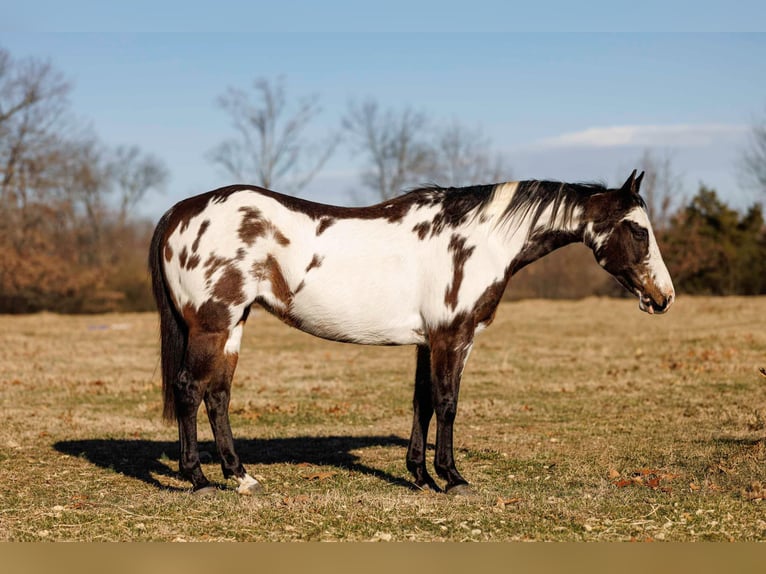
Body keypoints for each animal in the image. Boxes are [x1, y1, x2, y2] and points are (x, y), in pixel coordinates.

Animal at [148, 169, 675, 496]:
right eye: (638, 230)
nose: (664, 296)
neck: (480, 239)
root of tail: (180, 212)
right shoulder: (453, 337)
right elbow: (447, 402)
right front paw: (453, 478)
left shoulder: (427, 341)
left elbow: (422, 402)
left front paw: (420, 476)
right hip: (212, 325)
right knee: (190, 389)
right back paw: (198, 479)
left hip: (232, 327)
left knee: (217, 395)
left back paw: (242, 477)